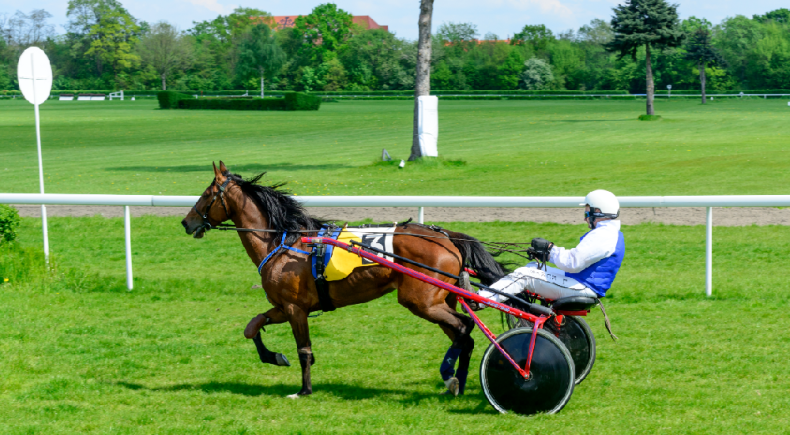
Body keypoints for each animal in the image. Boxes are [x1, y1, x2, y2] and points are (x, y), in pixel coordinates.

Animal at [181, 163, 508, 398]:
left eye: (207, 194)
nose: (186, 222)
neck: (284, 242)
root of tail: (446, 237)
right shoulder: (285, 306)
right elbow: (252, 327)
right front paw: (274, 356)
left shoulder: (295, 309)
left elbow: (304, 350)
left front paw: (304, 390)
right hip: (439, 299)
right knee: (463, 336)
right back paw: (458, 383)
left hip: (421, 301)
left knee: (463, 328)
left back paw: (450, 377)